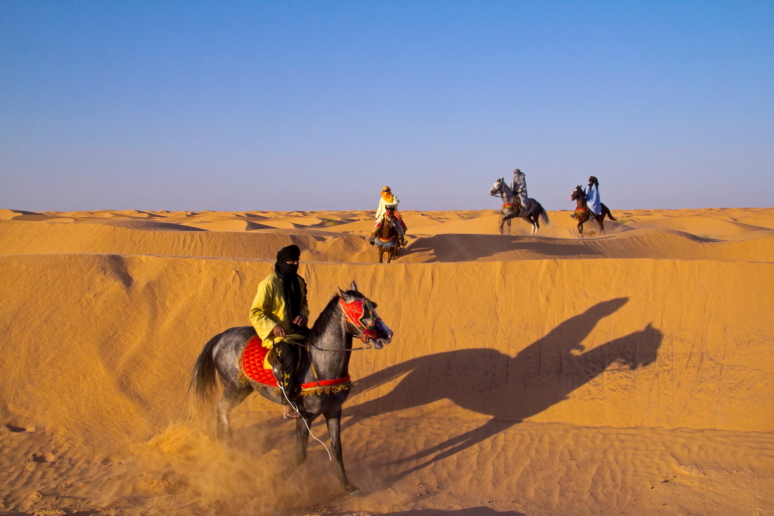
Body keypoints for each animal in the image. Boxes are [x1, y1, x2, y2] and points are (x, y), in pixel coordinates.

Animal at [189, 282, 394, 492]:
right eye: (362, 312)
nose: (388, 335)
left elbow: (337, 449)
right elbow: (300, 455)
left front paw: (346, 484)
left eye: (373, 307)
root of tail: (221, 336)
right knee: (222, 408)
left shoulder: (334, 411)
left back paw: (223, 445)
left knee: (222, 408)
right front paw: (276, 480)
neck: (321, 363)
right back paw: (228, 448)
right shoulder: (304, 416)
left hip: (242, 388)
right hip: (234, 387)